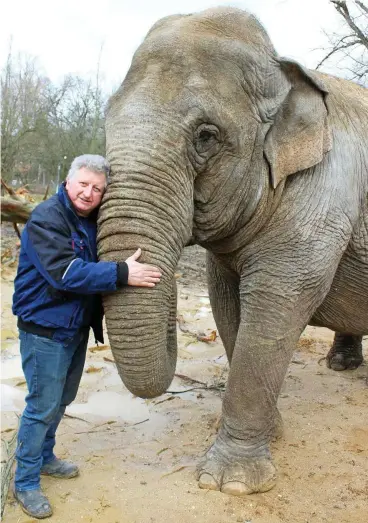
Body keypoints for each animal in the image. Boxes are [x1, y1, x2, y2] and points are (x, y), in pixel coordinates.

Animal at [98, 6, 368, 498]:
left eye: (206, 136)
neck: (283, 70)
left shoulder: (322, 195)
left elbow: (275, 308)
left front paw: (230, 484)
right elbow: (226, 304)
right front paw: (274, 433)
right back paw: (340, 366)